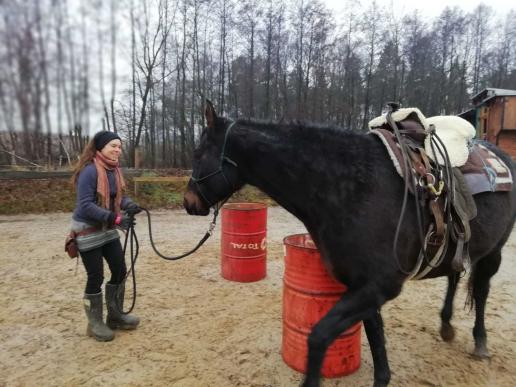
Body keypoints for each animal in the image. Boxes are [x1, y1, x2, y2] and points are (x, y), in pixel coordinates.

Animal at [183, 101, 512, 386]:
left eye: (198, 154)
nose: (189, 202)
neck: (352, 188)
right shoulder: (363, 289)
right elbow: (376, 341)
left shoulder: (377, 287)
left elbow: (318, 336)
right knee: (455, 273)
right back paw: (446, 326)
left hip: (494, 252)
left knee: (481, 291)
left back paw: (480, 342)